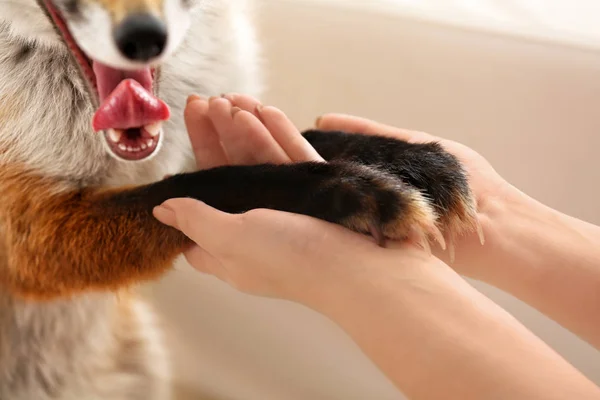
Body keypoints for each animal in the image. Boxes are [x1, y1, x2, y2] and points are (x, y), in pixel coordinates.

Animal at [0, 0, 480, 400]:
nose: (144, 36)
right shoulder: (31, 236)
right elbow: (216, 184)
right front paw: (353, 191)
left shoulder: (192, 139)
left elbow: (310, 138)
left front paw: (413, 160)